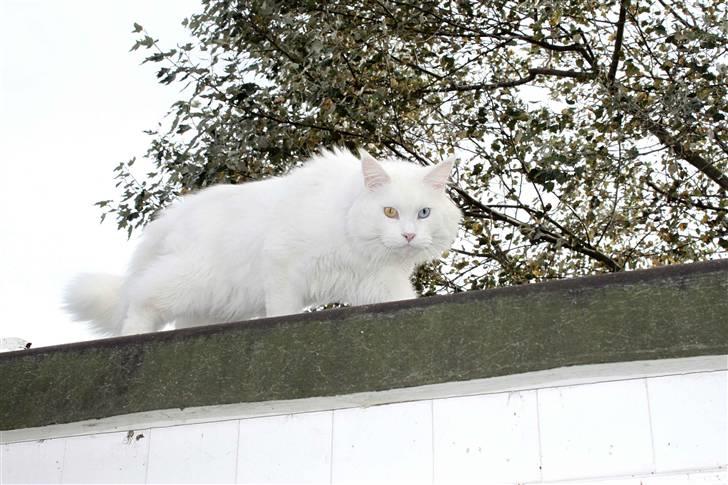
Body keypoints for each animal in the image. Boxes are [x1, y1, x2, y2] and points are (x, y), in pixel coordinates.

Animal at [64, 149, 460, 334]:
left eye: (424, 213)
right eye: (390, 212)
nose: (408, 235)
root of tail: (175, 213)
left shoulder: (379, 286)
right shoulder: (283, 269)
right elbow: (283, 313)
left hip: (216, 302)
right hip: (192, 278)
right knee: (141, 298)